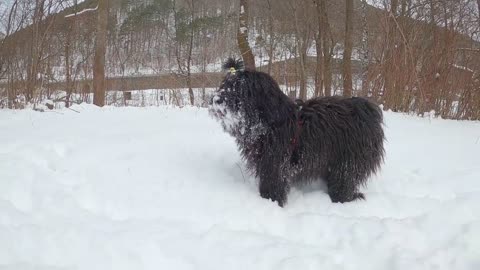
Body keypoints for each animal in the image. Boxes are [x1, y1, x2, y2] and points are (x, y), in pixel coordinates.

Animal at [210, 58, 386, 207]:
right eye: (224, 85)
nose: (216, 99)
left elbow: (273, 183)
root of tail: (366, 108)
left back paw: (343, 199)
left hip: (349, 160)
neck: (271, 122)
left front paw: (270, 201)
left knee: (345, 180)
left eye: (241, 90)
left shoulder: (275, 164)